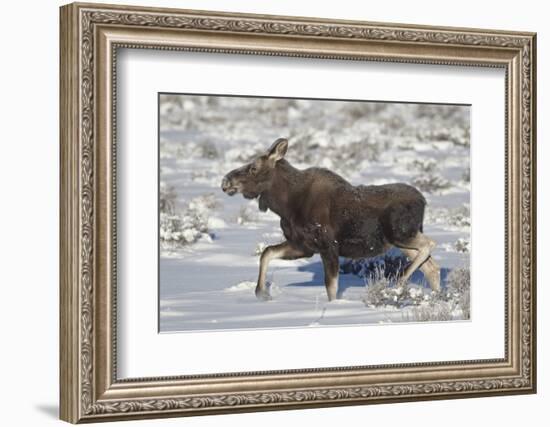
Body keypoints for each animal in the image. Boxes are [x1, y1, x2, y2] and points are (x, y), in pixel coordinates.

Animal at [222, 137, 442, 300]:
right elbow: (266, 253)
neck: (286, 205)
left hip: (401, 233)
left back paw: (400, 281)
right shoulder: (303, 246)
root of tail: (423, 201)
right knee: (432, 267)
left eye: (254, 168)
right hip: (401, 242)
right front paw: (261, 293)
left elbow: (331, 288)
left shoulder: (328, 246)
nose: (225, 181)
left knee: (430, 245)